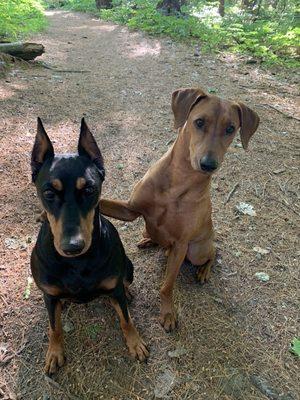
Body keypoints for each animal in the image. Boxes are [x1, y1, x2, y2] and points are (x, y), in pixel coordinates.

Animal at [30, 119, 148, 376]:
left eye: (89, 190)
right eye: (48, 192)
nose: (73, 246)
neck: (76, 263)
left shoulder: (115, 289)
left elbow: (126, 319)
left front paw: (135, 343)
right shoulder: (49, 296)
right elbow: (54, 327)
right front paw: (54, 353)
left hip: (128, 267)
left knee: (124, 284)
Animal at [99, 87, 258, 332]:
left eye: (230, 129)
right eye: (199, 122)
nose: (209, 165)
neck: (179, 181)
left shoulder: (181, 244)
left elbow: (167, 286)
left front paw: (167, 313)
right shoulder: (130, 210)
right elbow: (101, 202)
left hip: (196, 250)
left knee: (213, 253)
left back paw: (204, 271)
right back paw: (148, 240)